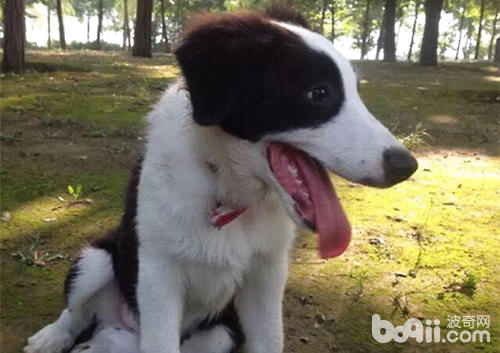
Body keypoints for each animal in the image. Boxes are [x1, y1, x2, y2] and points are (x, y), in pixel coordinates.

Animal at [23, 6, 416, 352]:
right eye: (318, 93)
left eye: (356, 90)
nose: (407, 166)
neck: (228, 190)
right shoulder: (158, 275)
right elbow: (159, 342)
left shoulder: (265, 276)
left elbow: (269, 342)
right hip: (96, 259)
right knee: (75, 311)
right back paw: (51, 337)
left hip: (219, 334)